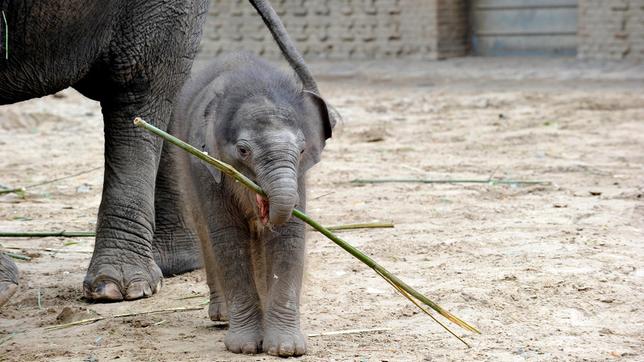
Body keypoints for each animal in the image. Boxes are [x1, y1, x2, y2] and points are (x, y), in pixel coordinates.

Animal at [160, 51, 332, 356]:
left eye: (302, 150)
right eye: (243, 151)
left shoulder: (298, 177)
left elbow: (289, 237)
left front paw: (285, 349)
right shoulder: (205, 167)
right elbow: (228, 239)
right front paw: (245, 347)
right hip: (183, 161)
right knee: (203, 229)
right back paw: (222, 316)